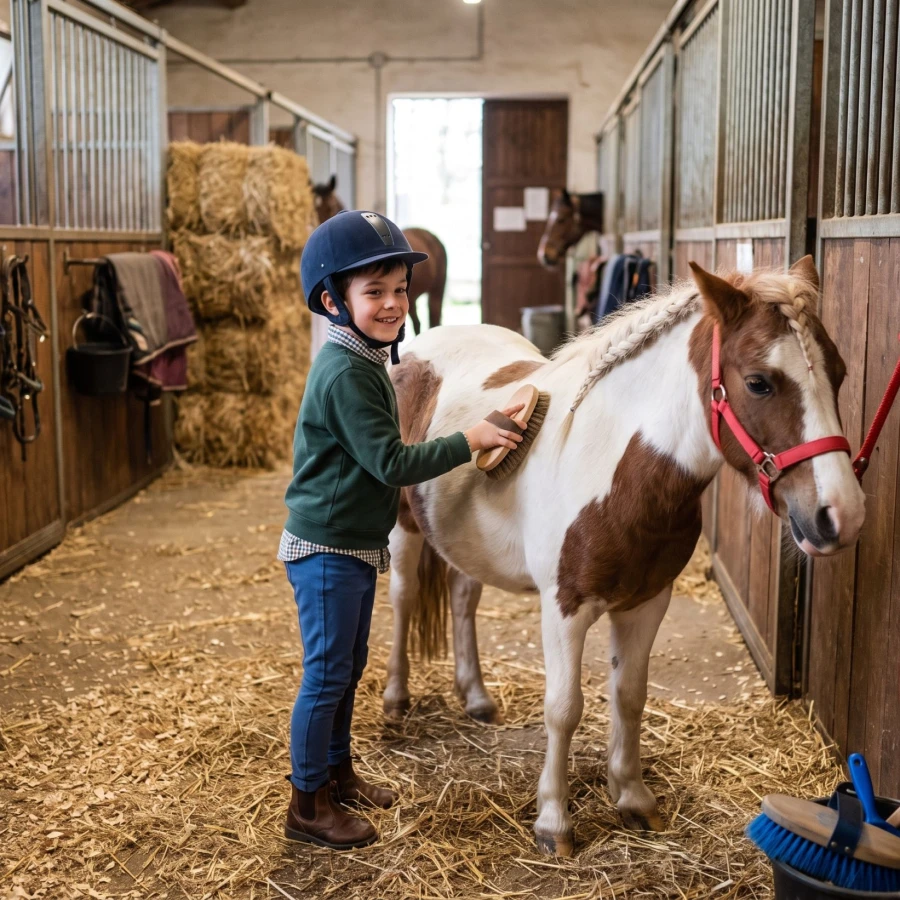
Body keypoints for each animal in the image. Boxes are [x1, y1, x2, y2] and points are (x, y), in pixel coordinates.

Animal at [310, 177, 448, 336]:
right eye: (313, 210)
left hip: (436, 292)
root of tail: (428, 235)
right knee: (418, 323)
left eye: (331, 206)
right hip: (413, 299)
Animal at [383, 256, 866, 857]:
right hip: (403, 529)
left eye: (839, 373)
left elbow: (629, 696)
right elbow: (564, 709)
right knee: (403, 599)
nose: (841, 515)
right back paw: (396, 699)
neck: (614, 465)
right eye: (759, 382)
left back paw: (475, 697)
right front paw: (554, 822)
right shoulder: (563, 609)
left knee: (463, 597)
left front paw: (633, 797)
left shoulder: (646, 603)